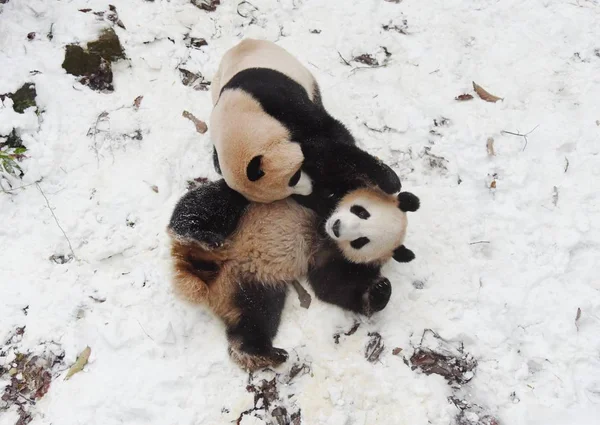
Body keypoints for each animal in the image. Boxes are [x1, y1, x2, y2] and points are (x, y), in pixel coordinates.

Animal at [164, 177, 418, 370]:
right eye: (361, 211)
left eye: (361, 241)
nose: (336, 226)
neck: (322, 230)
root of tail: (210, 272)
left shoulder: (332, 256)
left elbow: (333, 286)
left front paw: (380, 290)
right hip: (241, 216)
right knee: (208, 203)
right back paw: (199, 235)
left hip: (250, 284)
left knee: (255, 318)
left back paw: (262, 353)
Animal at [209, 37, 400, 206]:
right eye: (286, 194)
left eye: (294, 177)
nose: (310, 189)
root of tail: (244, 42)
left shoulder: (278, 102)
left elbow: (329, 139)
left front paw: (388, 181)